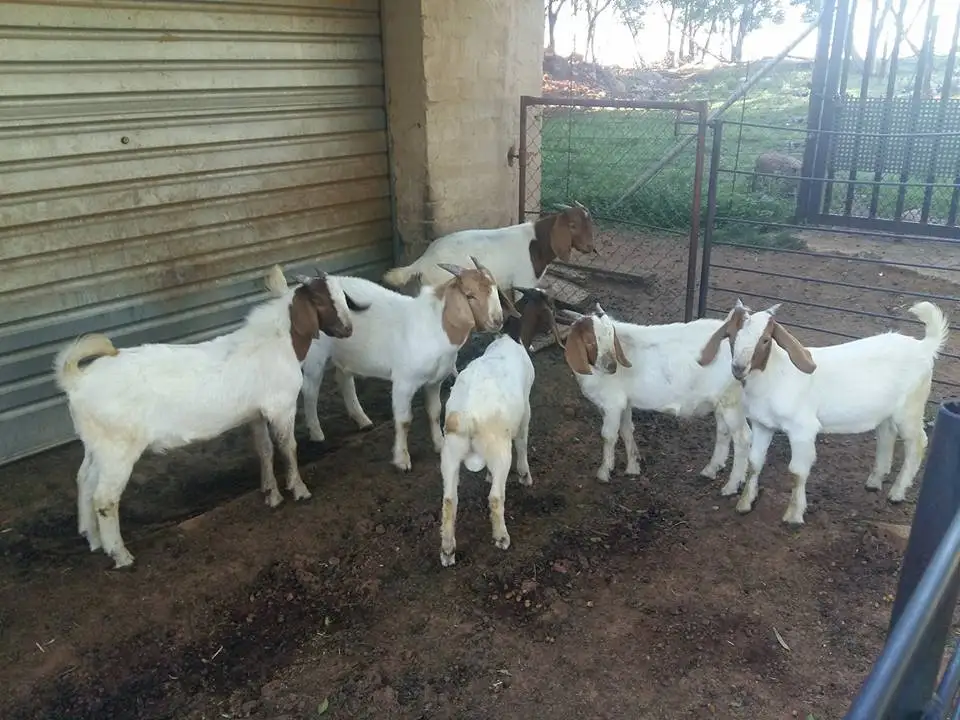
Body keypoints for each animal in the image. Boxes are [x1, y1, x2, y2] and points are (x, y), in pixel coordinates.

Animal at [54, 272, 366, 568]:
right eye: (322, 301)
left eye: (343, 296)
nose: (348, 329)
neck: (278, 343)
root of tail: (76, 381)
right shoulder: (281, 406)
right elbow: (288, 448)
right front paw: (299, 490)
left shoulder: (256, 413)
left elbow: (264, 450)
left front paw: (271, 494)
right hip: (118, 446)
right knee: (105, 498)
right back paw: (120, 554)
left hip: (97, 444)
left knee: (85, 480)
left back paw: (93, 539)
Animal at [283, 258, 509, 471]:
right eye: (469, 295)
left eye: (494, 289)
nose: (498, 321)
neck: (435, 326)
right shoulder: (404, 382)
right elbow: (404, 421)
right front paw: (402, 460)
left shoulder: (435, 381)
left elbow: (435, 412)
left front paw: (439, 444)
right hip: (315, 355)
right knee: (310, 391)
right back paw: (316, 432)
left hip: (346, 352)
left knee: (344, 378)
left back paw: (362, 419)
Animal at [440, 287, 564, 567]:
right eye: (550, 305)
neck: (512, 338)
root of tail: (467, 417)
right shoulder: (526, 409)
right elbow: (523, 441)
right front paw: (526, 476)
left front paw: (486, 474)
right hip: (499, 451)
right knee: (496, 497)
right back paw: (501, 537)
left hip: (450, 452)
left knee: (449, 501)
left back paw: (447, 551)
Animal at [558, 305, 750, 490]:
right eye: (589, 340)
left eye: (611, 337)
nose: (611, 366)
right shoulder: (625, 402)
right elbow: (627, 430)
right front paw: (633, 467)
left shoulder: (612, 403)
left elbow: (608, 436)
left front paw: (604, 472)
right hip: (723, 401)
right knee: (724, 432)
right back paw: (711, 470)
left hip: (732, 402)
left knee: (743, 439)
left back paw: (731, 486)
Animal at [699, 300, 949, 525]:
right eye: (731, 335)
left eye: (765, 339)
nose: (738, 368)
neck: (775, 376)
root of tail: (924, 346)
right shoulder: (763, 425)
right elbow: (754, 462)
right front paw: (744, 503)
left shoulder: (802, 430)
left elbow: (797, 472)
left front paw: (794, 515)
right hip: (886, 411)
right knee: (887, 435)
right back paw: (874, 481)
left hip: (910, 409)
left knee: (918, 443)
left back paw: (897, 493)